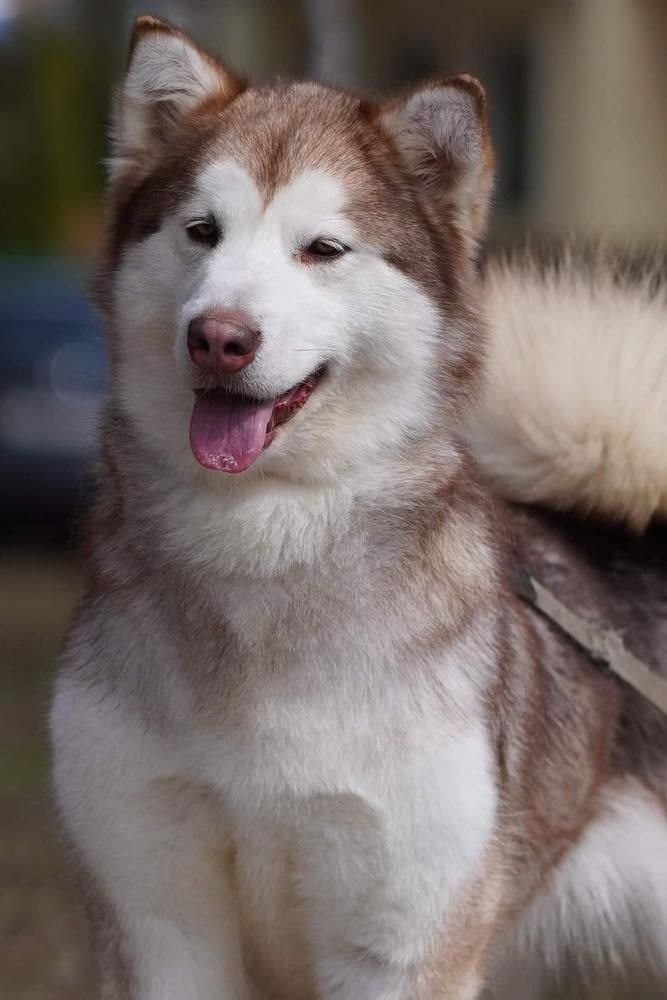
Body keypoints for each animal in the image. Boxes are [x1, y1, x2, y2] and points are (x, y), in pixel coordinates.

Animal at [52, 17, 667, 1000]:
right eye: (201, 232)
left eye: (323, 249)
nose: (219, 337)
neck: (259, 545)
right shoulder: (157, 922)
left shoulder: (400, 945)